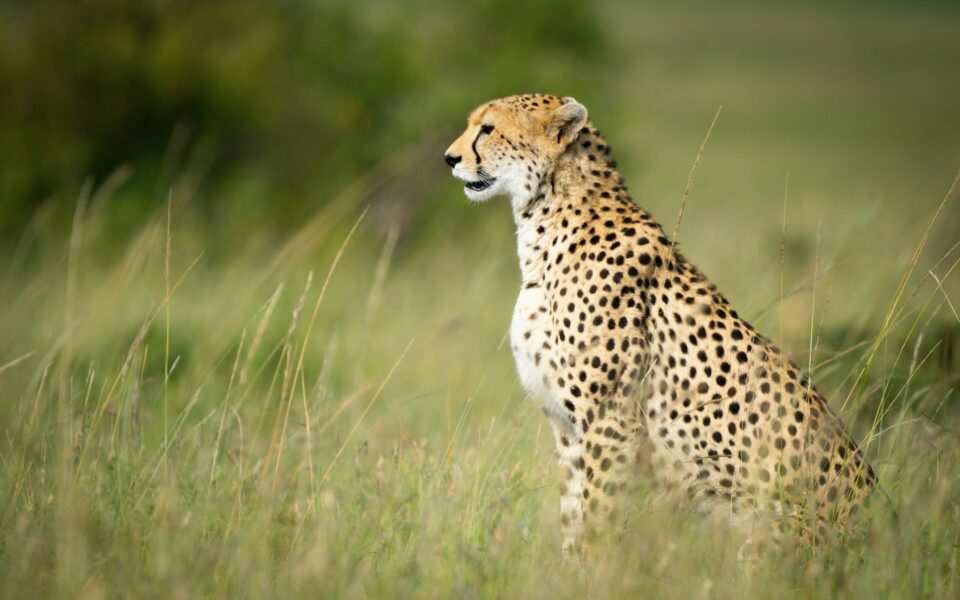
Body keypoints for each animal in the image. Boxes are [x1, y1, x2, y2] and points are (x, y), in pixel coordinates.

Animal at [444, 93, 877, 556]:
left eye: (488, 129)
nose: (449, 158)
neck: (546, 219)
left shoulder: (612, 421)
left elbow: (597, 517)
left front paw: (596, 566)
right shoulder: (569, 430)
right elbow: (573, 519)